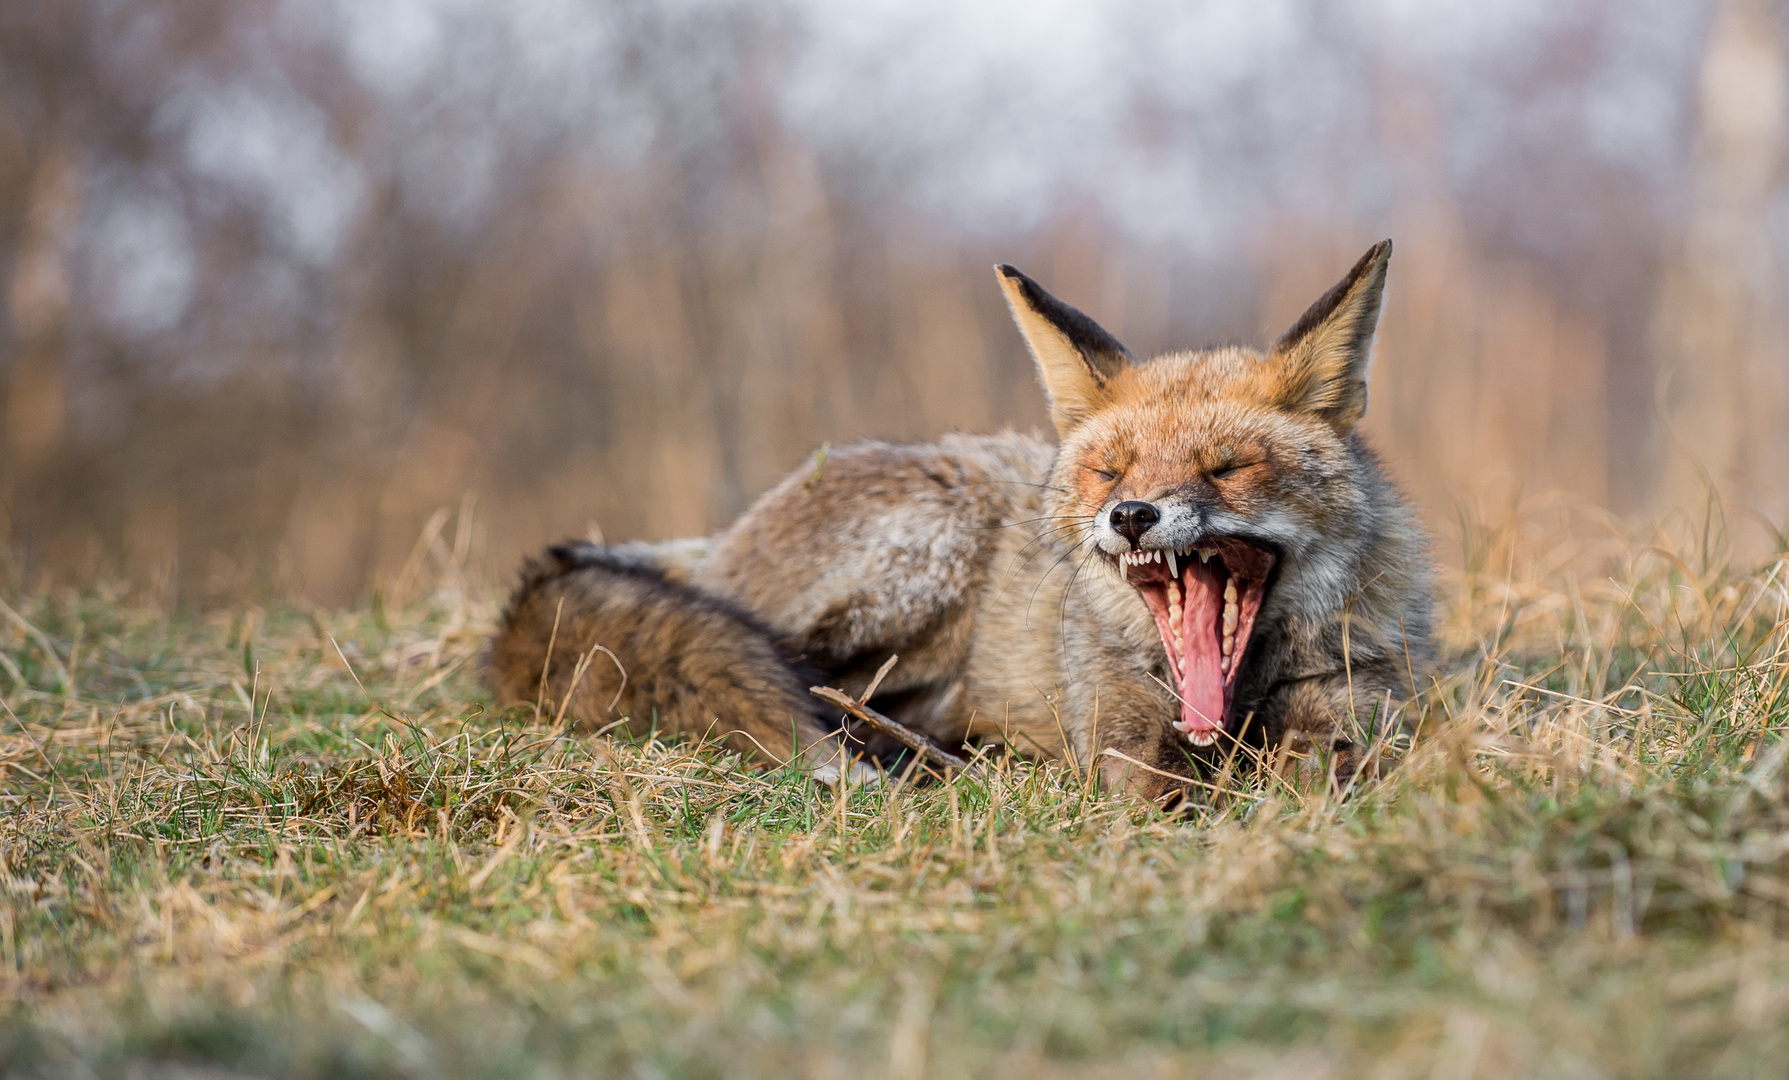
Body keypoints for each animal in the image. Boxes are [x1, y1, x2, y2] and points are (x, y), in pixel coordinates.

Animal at [490, 243, 1438, 801]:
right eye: (1110, 471)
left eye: (1227, 470)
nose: (1130, 515)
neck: (1226, 709)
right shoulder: (1118, 725)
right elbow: (1153, 791)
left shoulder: (1355, 704)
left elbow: (1324, 769)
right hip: (917, 565)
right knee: (771, 666)